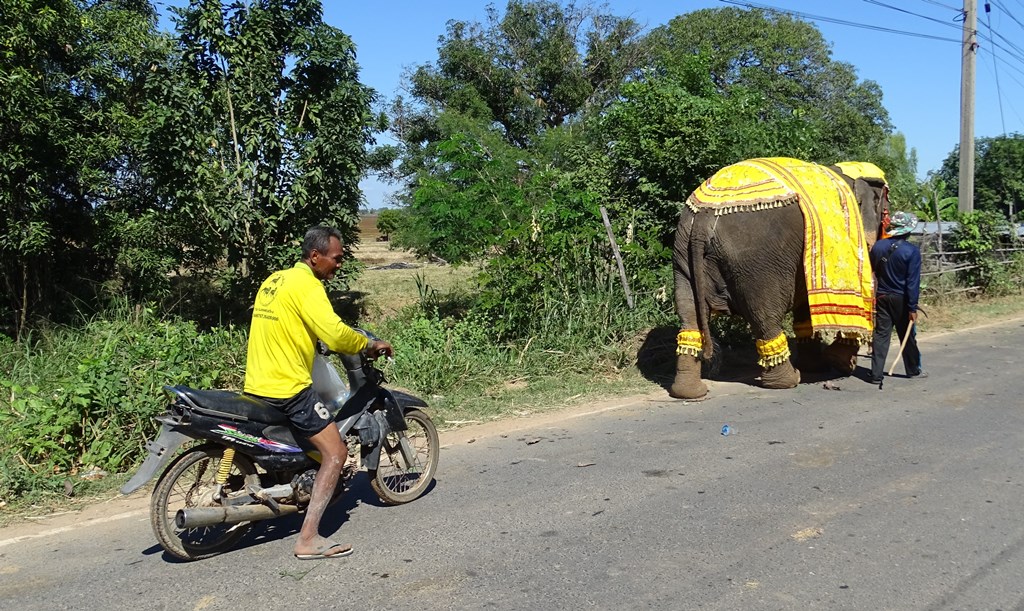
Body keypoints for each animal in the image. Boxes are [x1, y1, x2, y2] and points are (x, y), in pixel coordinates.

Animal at [667, 154, 892, 397]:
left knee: (688, 312)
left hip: (683, 249)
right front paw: (839, 364)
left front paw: (822, 366)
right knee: (765, 314)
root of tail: (704, 218)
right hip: (758, 264)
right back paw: (789, 380)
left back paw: (689, 392)